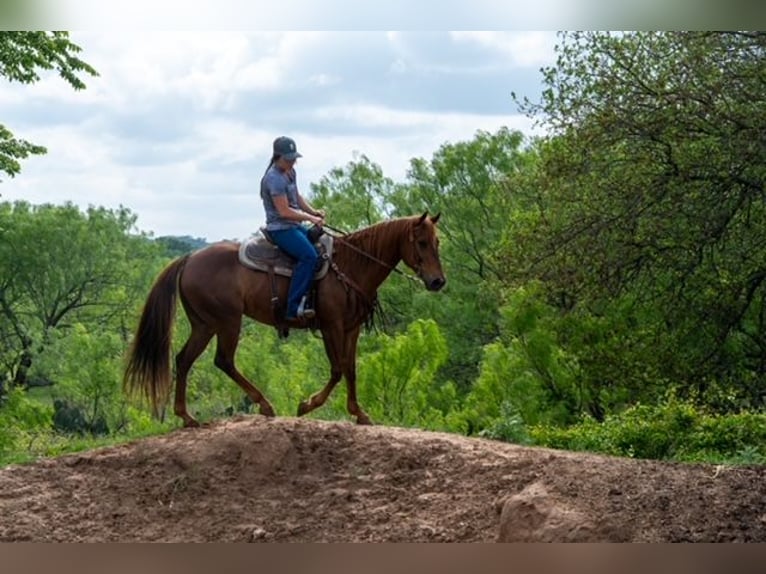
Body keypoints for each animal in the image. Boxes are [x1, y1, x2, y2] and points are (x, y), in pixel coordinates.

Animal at [123, 212, 446, 427]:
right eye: (420, 242)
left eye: (437, 241)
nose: (438, 281)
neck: (351, 265)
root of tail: (189, 258)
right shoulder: (331, 327)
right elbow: (337, 369)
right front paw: (307, 405)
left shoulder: (351, 329)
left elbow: (351, 369)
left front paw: (359, 413)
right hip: (227, 321)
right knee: (223, 360)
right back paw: (264, 405)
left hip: (204, 324)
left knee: (184, 359)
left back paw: (187, 416)